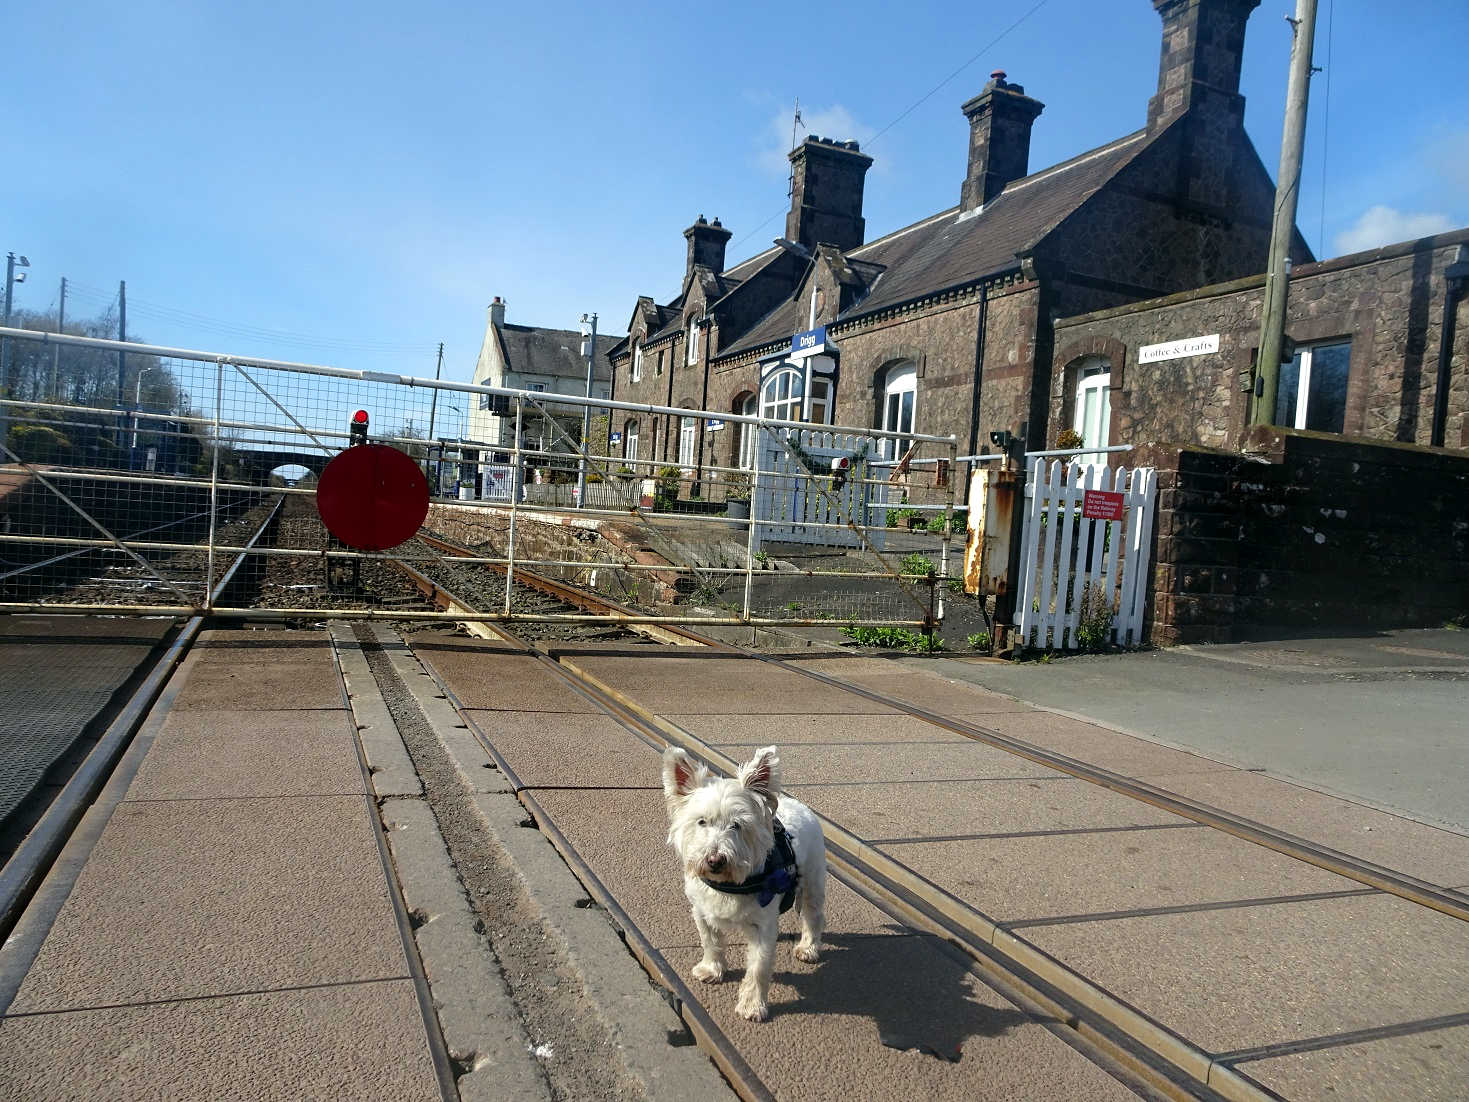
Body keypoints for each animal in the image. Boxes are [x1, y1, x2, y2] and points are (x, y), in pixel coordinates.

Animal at [666, 746, 828, 1022]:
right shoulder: (701, 911)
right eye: (701, 821)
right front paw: (711, 969)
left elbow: (758, 967)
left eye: (737, 825)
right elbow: (710, 941)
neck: (730, 882)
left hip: (812, 882)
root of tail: (798, 804)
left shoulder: (762, 927)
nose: (714, 860)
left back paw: (808, 948)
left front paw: (753, 1005)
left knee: (812, 916)